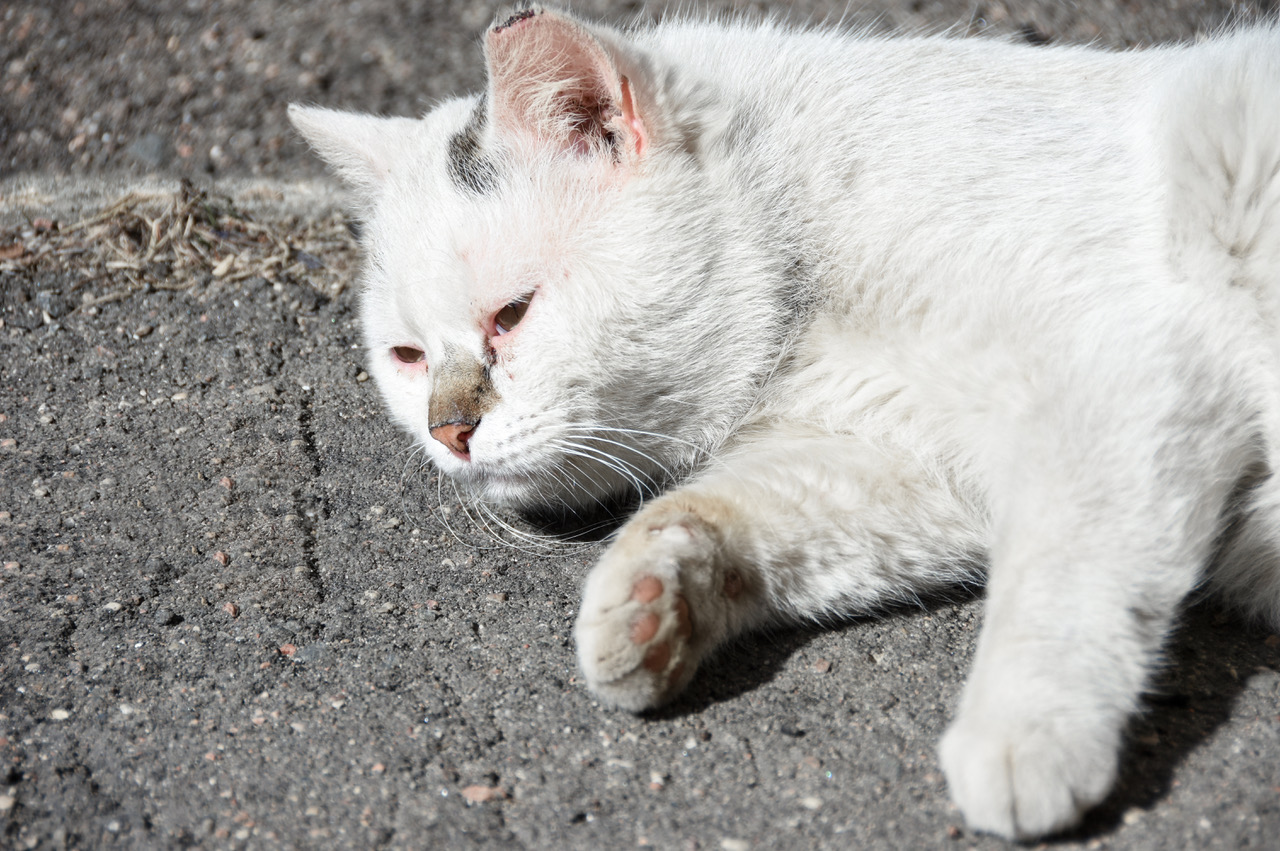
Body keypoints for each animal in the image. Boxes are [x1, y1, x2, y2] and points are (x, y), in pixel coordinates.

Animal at [288, 4, 1280, 834]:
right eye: (406, 357)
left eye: (513, 314)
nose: (447, 429)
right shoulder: (904, 471)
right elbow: (724, 515)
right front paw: (645, 601)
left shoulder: (1121, 371)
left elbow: (1059, 573)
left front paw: (1022, 733)